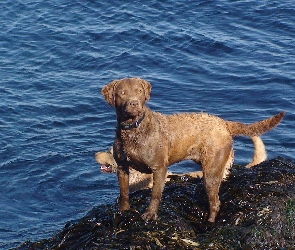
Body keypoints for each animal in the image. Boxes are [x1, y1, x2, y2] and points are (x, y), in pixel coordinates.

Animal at [101, 77, 284, 222]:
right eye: (123, 93)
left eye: (139, 91)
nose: (134, 103)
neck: (134, 129)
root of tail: (224, 123)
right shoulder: (123, 167)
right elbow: (124, 192)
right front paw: (123, 212)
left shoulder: (159, 168)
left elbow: (155, 194)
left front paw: (150, 215)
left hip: (211, 169)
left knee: (215, 202)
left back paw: (210, 223)